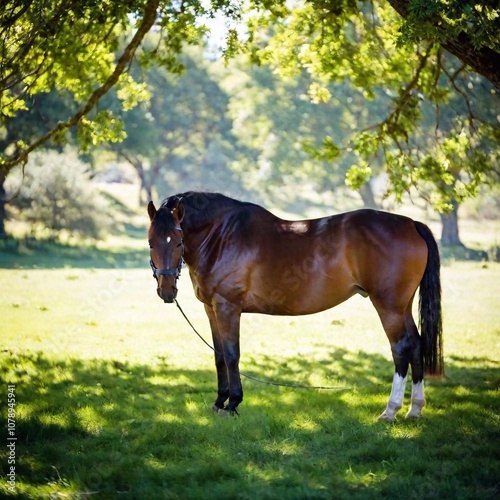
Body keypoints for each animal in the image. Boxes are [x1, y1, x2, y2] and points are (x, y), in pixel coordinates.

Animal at [146, 191, 444, 422]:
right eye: (150, 242)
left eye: (179, 240)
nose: (166, 291)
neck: (221, 236)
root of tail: (411, 223)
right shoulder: (211, 309)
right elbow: (219, 355)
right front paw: (219, 402)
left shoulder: (227, 307)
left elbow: (231, 355)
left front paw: (233, 403)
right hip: (403, 307)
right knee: (416, 344)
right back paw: (414, 409)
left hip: (389, 307)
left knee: (400, 348)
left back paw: (391, 410)